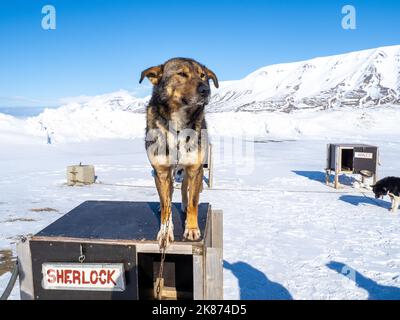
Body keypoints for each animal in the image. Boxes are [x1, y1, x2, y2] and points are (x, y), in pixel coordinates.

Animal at [140, 57, 219, 244]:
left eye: (203, 75)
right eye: (182, 74)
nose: (206, 90)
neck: (177, 126)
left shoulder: (195, 169)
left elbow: (193, 202)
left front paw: (191, 228)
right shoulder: (161, 172)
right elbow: (166, 204)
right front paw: (165, 231)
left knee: (184, 189)